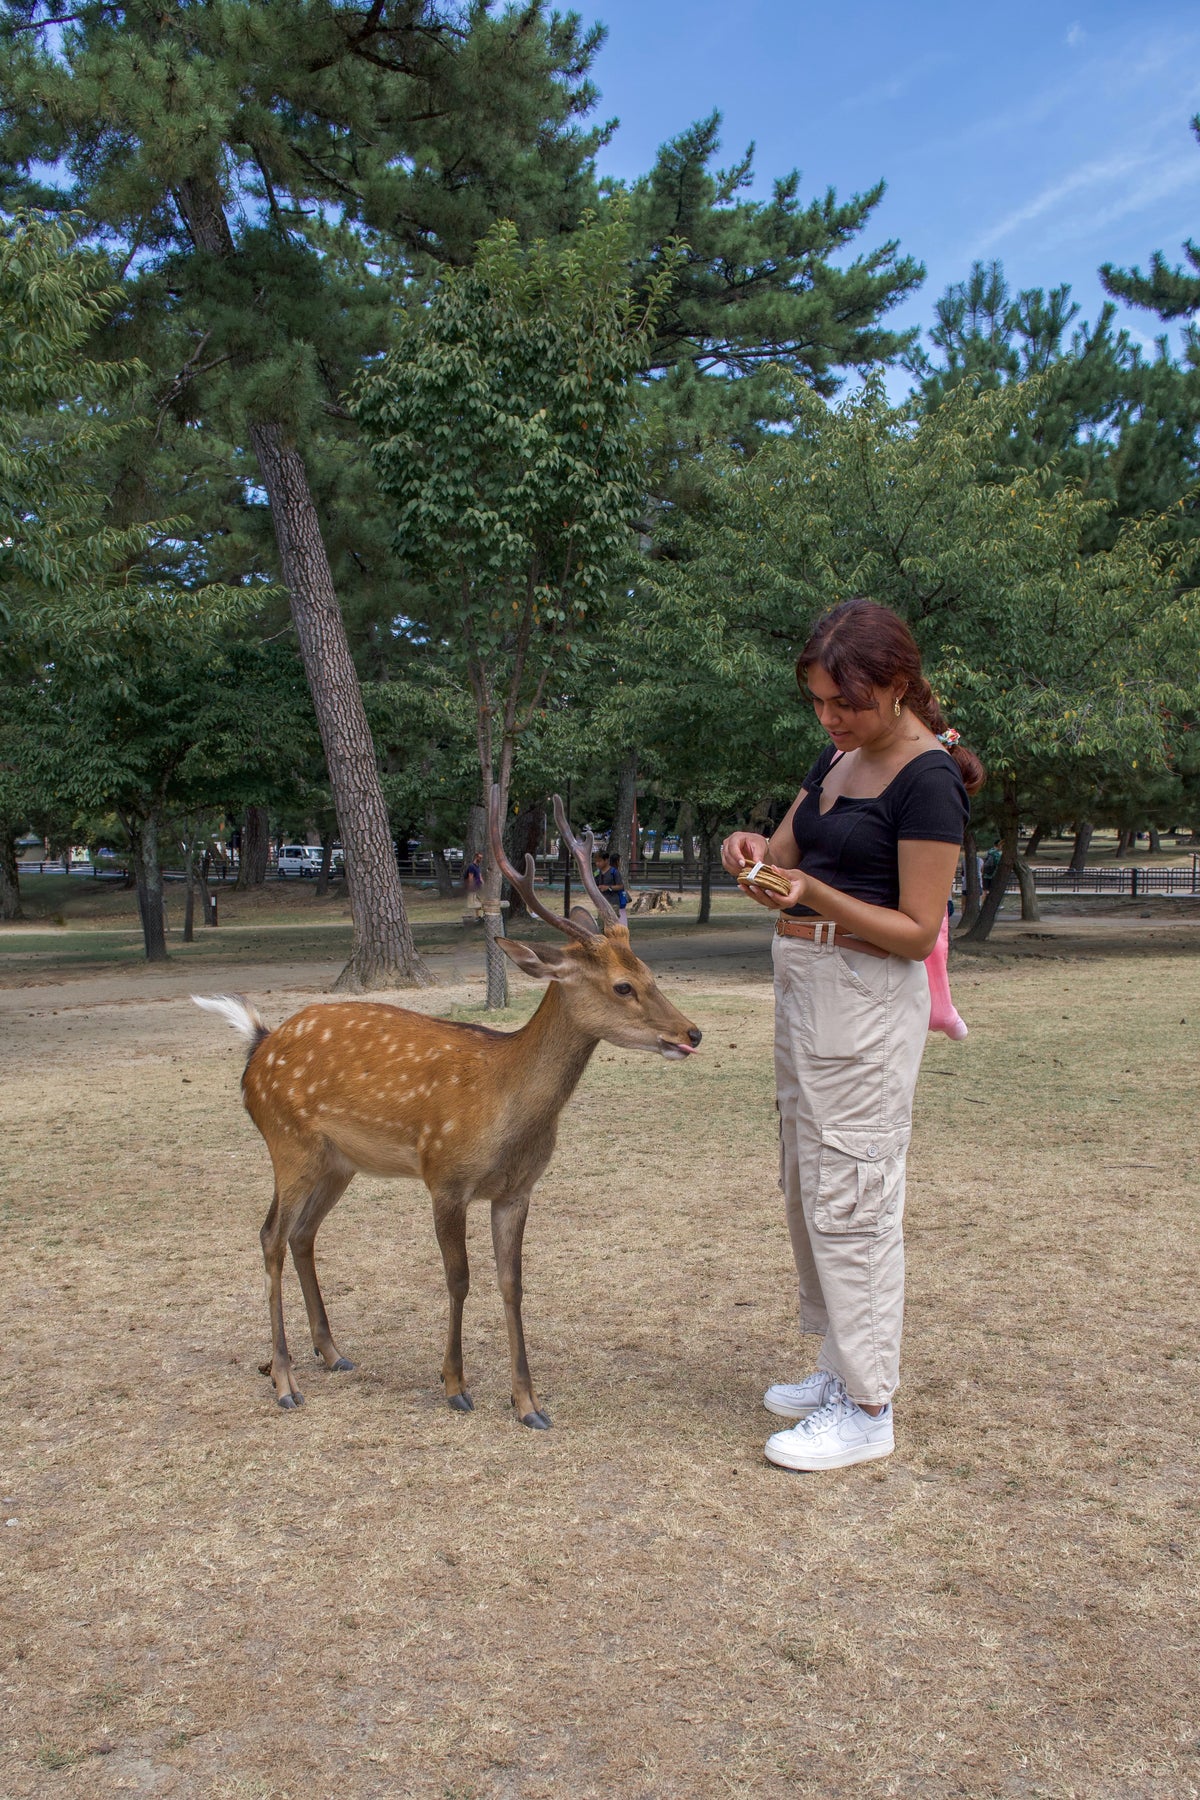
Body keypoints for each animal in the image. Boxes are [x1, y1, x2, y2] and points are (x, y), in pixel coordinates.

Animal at [197, 788, 705, 1418]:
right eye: (622, 986)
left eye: (650, 972)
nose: (691, 1033)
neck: (506, 1110)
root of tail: (258, 1046)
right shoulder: (444, 1175)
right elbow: (458, 1278)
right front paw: (455, 1385)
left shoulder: (516, 1189)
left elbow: (512, 1283)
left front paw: (527, 1402)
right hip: (287, 1142)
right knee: (269, 1235)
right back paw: (285, 1380)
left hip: (337, 1161)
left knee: (301, 1234)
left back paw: (333, 1352)